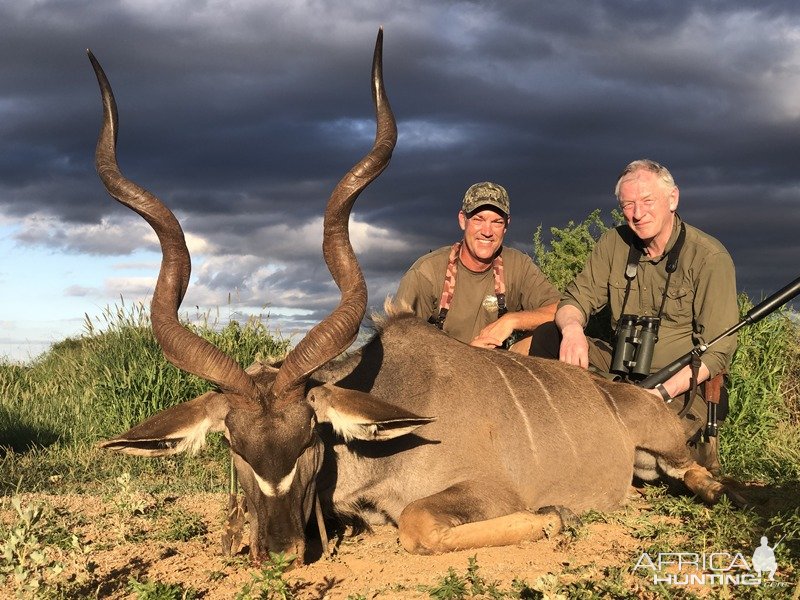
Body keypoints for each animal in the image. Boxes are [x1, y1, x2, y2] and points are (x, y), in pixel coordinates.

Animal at [89, 30, 736, 564]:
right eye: (233, 445)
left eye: (309, 437)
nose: (276, 551)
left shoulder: (486, 489)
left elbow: (418, 524)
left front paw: (552, 516)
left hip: (670, 449)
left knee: (703, 474)